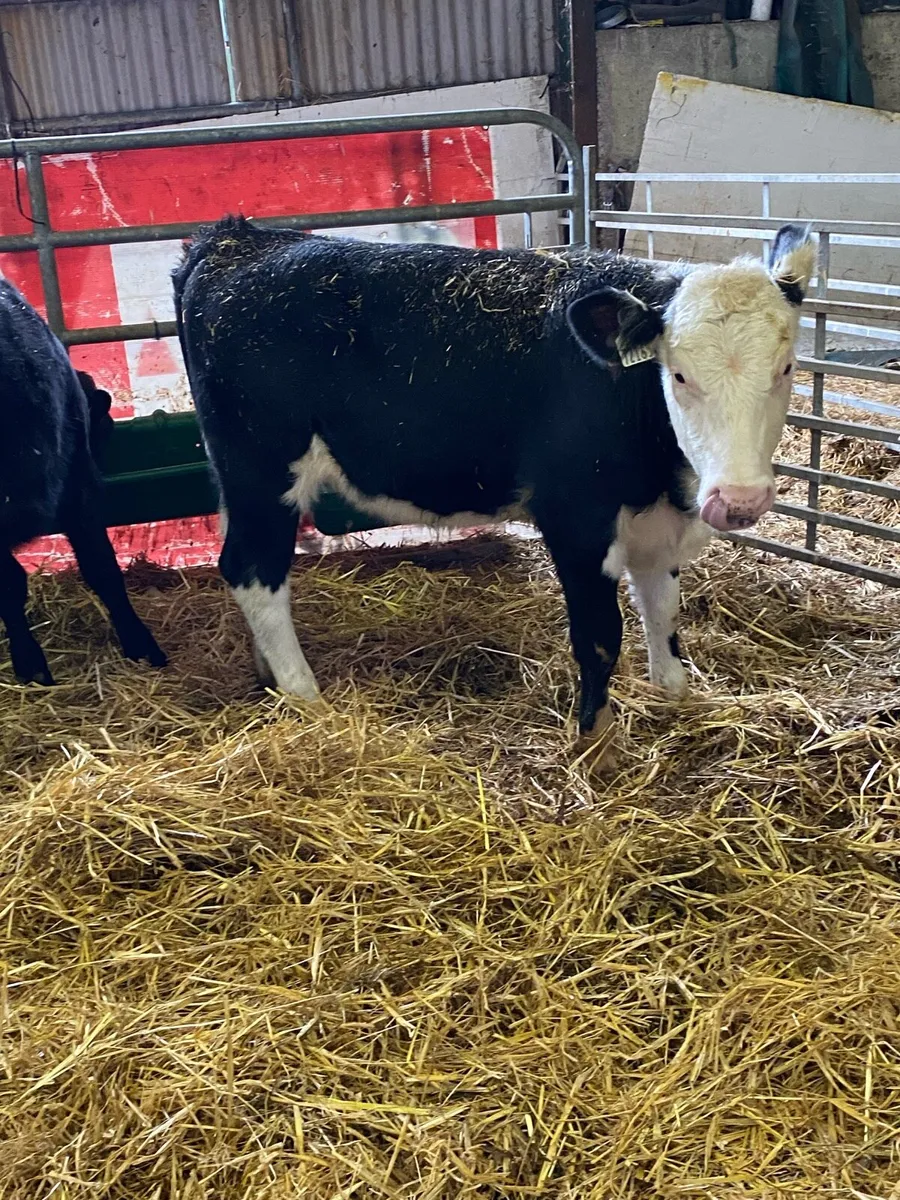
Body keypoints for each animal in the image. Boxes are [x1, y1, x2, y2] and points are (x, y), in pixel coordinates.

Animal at [172, 216, 815, 746]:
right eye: (678, 375)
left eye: (786, 368)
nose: (739, 500)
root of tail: (236, 240)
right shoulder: (576, 518)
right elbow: (600, 635)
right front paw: (596, 741)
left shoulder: (654, 524)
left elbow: (663, 613)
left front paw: (673, 698)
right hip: (261, 466)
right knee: (253, 569)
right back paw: (305, 697)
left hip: (235, 475)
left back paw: (268, 676)